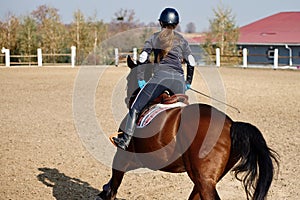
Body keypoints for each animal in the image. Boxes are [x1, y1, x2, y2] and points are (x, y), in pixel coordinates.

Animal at [97, 55, 280, 199]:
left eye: (128, 79)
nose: (129, 98)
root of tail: (231, 125)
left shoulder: (123, 156)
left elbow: (114, 186)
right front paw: (103, 190)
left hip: (204, 180)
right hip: (202, 179)